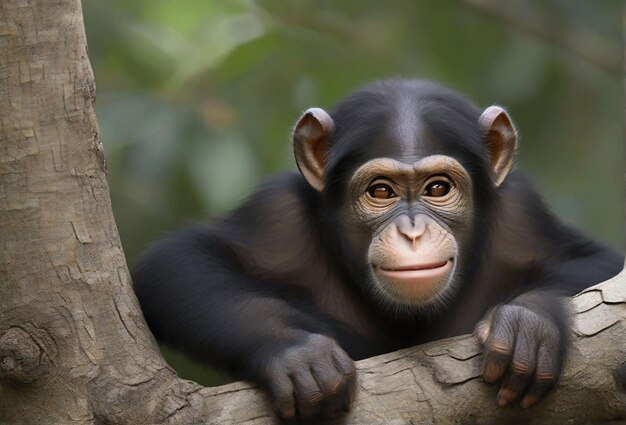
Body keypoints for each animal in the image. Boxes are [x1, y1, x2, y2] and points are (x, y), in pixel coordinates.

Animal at [130, 79, 620, 420]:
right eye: (381, 191)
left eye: (438, 188)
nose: (412, 232)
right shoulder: (276, 212)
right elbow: (178, 263)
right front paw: (296, 351)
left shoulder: (522, 211)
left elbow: (599, 263)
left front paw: (529, 321)